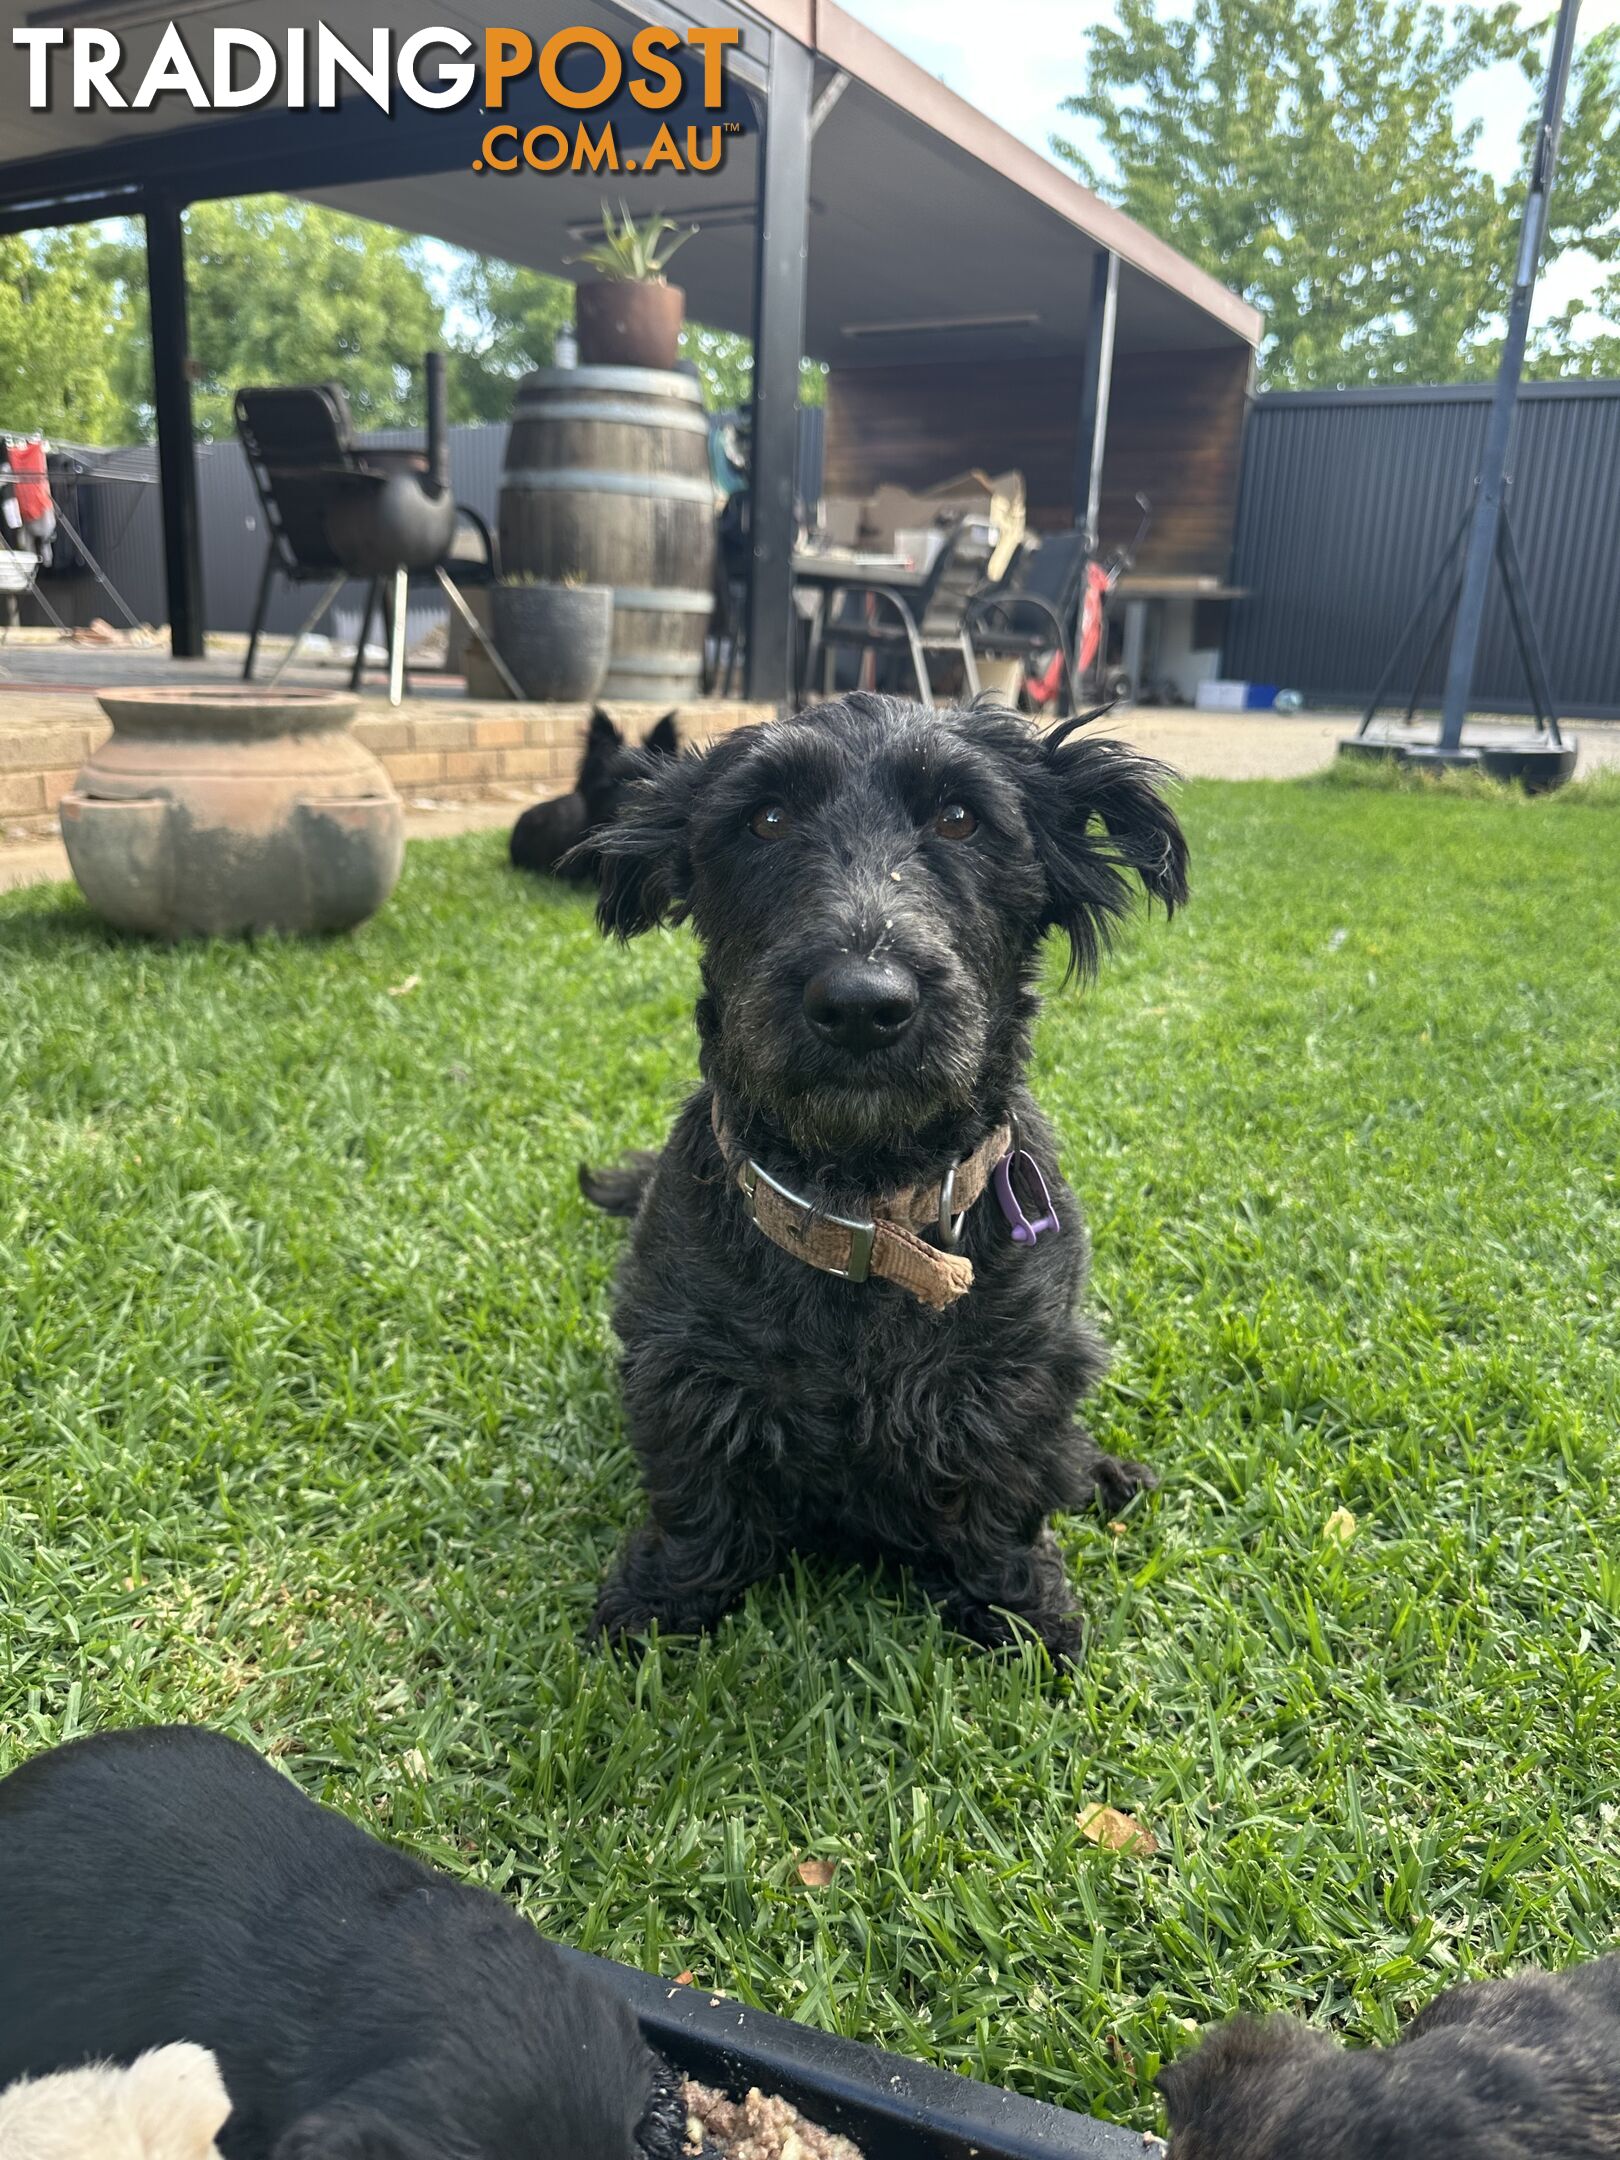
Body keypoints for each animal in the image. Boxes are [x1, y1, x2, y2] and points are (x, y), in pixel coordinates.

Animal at [583, 691, 1192, 1650]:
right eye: (766, 818)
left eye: (959, 818)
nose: (863, 1006)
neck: (866, 1209)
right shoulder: (685, 1364)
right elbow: (696, 1499)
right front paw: (660, 1605)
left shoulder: (1017, 1376)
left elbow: (1003, 1496)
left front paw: (1019, 1615)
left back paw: (1104, 1473)